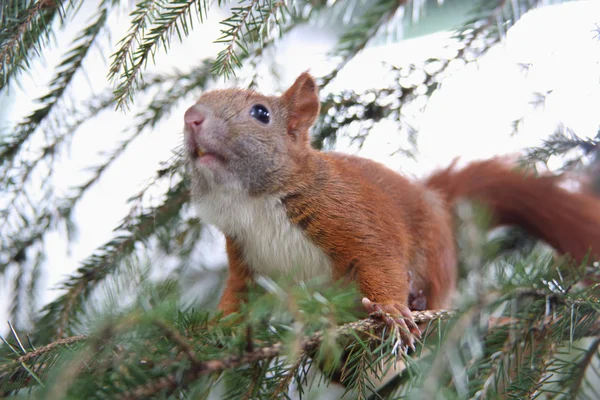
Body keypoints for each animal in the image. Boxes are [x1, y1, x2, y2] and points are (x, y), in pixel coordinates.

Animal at [182, 72, 600, 346]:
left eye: (260, 113)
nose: (191, 117)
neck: (257, 203)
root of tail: (437, 201)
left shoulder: (347, 213)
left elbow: (379, 256)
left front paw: (392, 309)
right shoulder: (245, 255)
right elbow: (238, 296)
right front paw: (215, 326)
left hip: (433, 255)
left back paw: (418, 303)